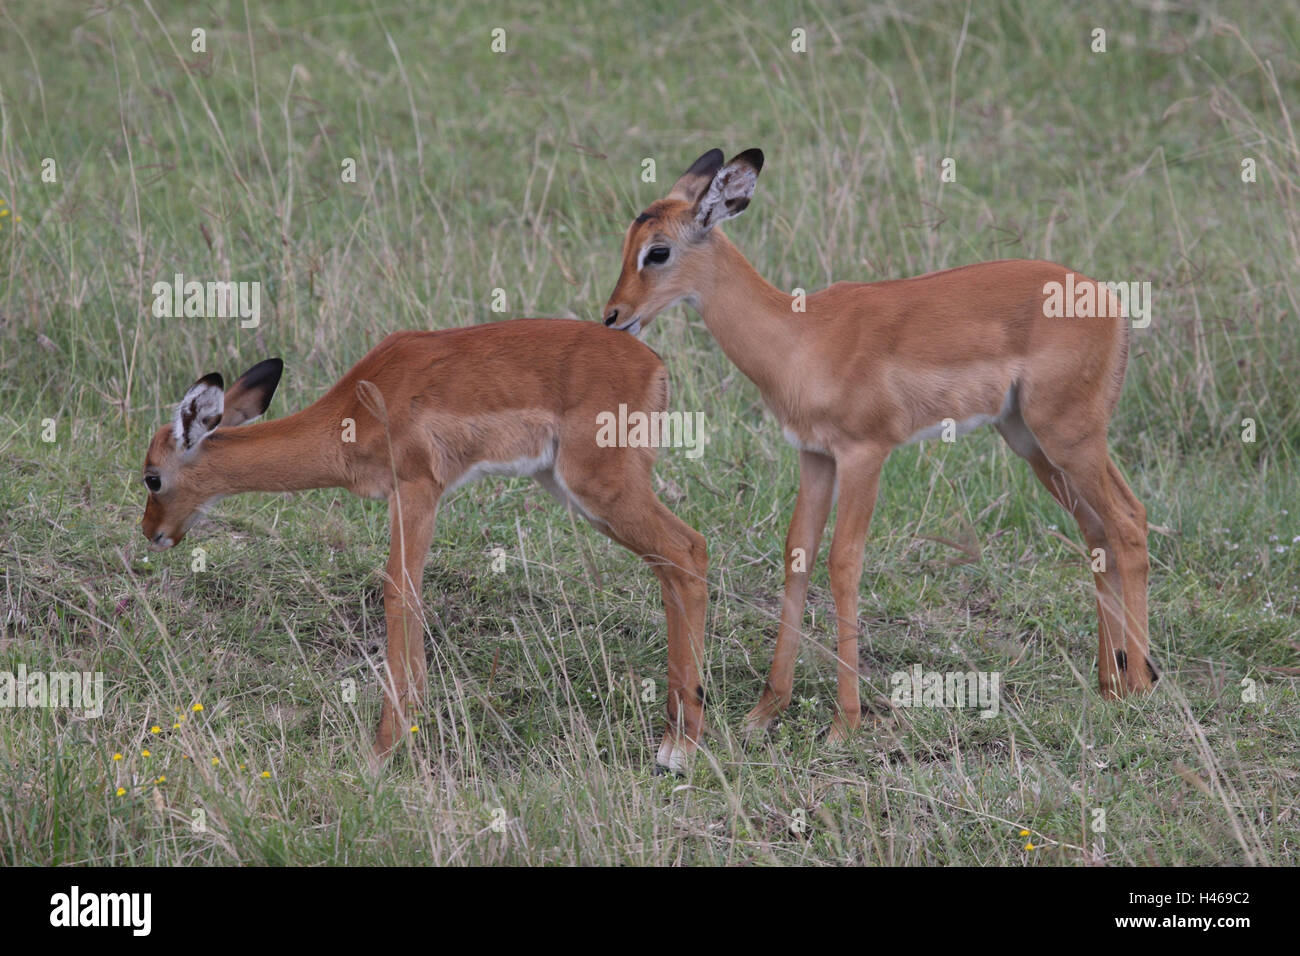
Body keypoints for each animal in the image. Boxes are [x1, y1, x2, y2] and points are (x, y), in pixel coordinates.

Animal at [141, 319, 707, 770]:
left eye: (151, 477)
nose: (153, 534)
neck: (355, 410)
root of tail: (654, 365)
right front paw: (409, 730)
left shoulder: (417, 489)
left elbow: (398, 589)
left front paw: (382, 750)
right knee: (674, 563)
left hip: (601, 486)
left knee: (688, 549)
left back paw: (677, 750)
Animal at [600, 147, 1159, 738]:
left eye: (658, 250)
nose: (613, 317)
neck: (801, 337)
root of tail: (1112, 302)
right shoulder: (815, 455)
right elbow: (797, 555)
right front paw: (767, 708)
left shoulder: (864, 454)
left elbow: (844, 562)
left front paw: (845, 721)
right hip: (1036, 444)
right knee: (1098, 530)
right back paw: (1109, 683)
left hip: (1070, 439)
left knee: (1128, 523)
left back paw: (1142, 683)